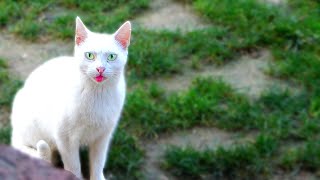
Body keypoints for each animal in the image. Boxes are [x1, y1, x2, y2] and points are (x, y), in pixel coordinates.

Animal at [10, 16, 131, 180]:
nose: (100, 69)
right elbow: (73, 167)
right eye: (89, 55)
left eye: (112, 57)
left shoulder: (103, 136)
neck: (97, 94)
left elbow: (98, 164)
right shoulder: (65, 139)